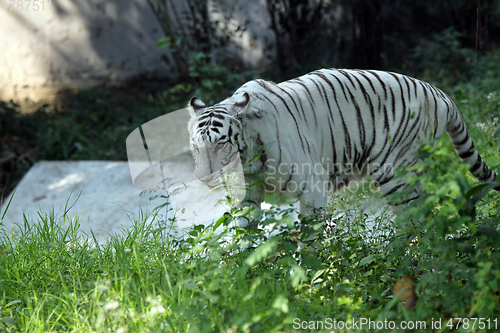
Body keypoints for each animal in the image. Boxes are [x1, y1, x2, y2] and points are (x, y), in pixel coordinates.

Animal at [188, 68, 500, 223]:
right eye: (196, 148)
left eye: (220, 146)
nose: (202, 178)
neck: (249, 161)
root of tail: (438, 92)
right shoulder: (246, 198)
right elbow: (245, 236)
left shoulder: (312, 190)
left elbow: (309, 238)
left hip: (394, 172)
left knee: (414, 218)